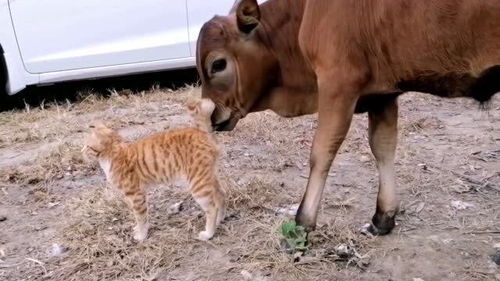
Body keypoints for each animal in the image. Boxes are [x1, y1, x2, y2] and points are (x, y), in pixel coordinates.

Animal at [81, 98, 225, 241]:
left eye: (87, 147)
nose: (81, 152)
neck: (113, 156)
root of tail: (200, 131)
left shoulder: (135, 196)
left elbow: (140, 217)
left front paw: (141, 235)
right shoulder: (139, 195)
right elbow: (141, 217)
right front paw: (138, 229)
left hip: (198, 184)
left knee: (212, 207)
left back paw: (209, 233)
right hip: (208, 177)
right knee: (220, 195)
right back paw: (220, 219)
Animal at [196, 0, 500, 235]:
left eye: (218, 64)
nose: (211, 116)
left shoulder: (337, 85)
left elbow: (321, 153)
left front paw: (303, 222)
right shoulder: (382, 95)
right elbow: (383, 148)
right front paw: (383, 218)